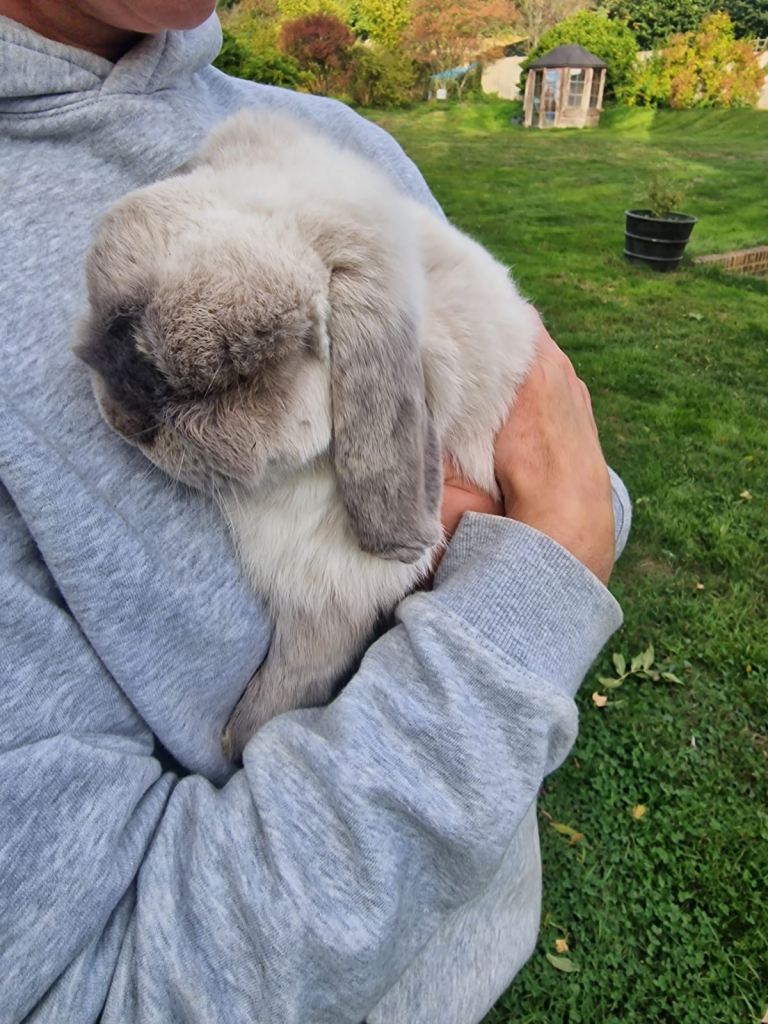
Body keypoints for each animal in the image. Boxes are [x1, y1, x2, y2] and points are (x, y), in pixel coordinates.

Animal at [75, 109, 538, 761]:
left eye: (237, 378)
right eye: (113, 320)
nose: (125, 415)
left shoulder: (331, 597)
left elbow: (290, 684)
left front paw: (236, 741)